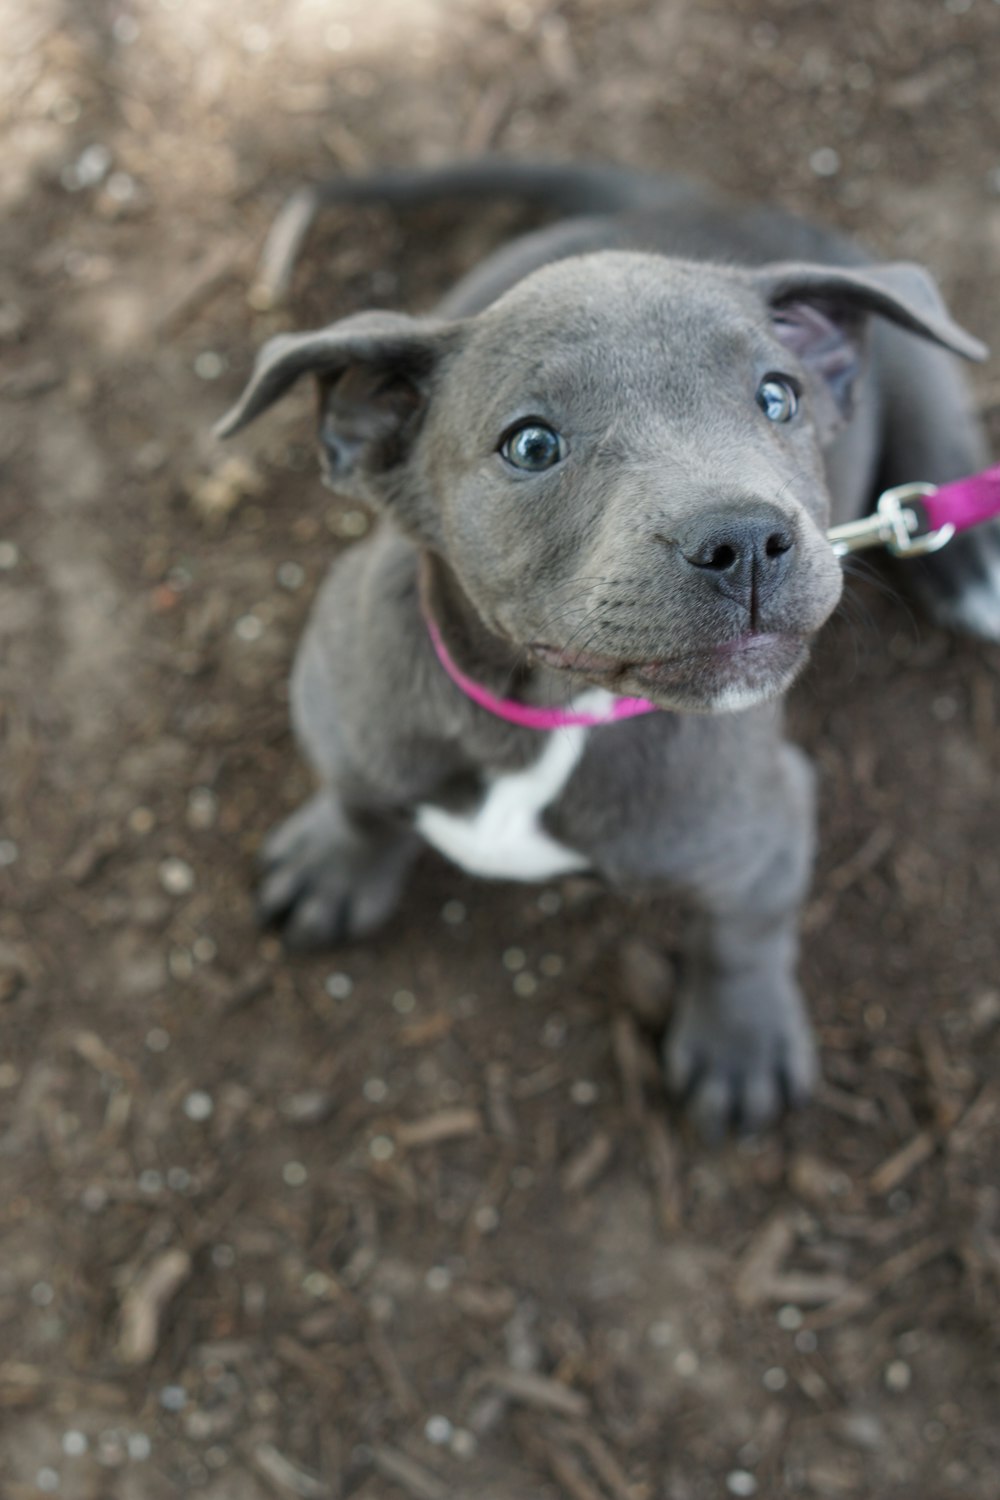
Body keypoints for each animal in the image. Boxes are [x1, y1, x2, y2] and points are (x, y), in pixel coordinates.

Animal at [215, 158, 989, 1128]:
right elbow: (358, 793)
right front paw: (334, 863)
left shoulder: (767, 827)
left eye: (779, 397)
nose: (746, 540)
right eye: (531, 445)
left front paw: (741, 1042)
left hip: (912, 338)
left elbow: (745, 933)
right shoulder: (337, 696)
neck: (543, 720)